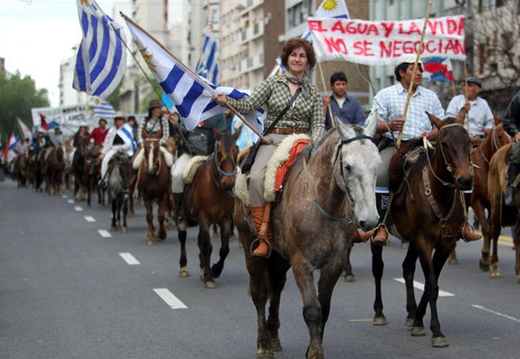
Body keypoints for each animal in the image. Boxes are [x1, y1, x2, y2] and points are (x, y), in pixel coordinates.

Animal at [179, 129, 242, 290]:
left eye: (237, 151)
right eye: (219, 152)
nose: (228, 183)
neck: (216, 187)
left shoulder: (225, 219)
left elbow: (224, 249)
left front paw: (215, 270)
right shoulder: (204, 218)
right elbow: (207, 246)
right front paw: (209, 278)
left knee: (200, 241)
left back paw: (203, 269)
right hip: (183, 216)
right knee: (182, 235)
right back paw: (184, 267)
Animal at [372, 112, 474, 348]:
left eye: (468, 141)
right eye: (445, 143)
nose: (465, 180)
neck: (440, 195)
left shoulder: (445, 243)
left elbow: (429, 285)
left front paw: (419, 320)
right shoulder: (425, 241)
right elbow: (432, 284)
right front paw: (437, 331)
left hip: (412, 239)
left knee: (407, 268)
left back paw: (411, 314)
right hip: (375, 233)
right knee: (378, 268)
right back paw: (379, 313)